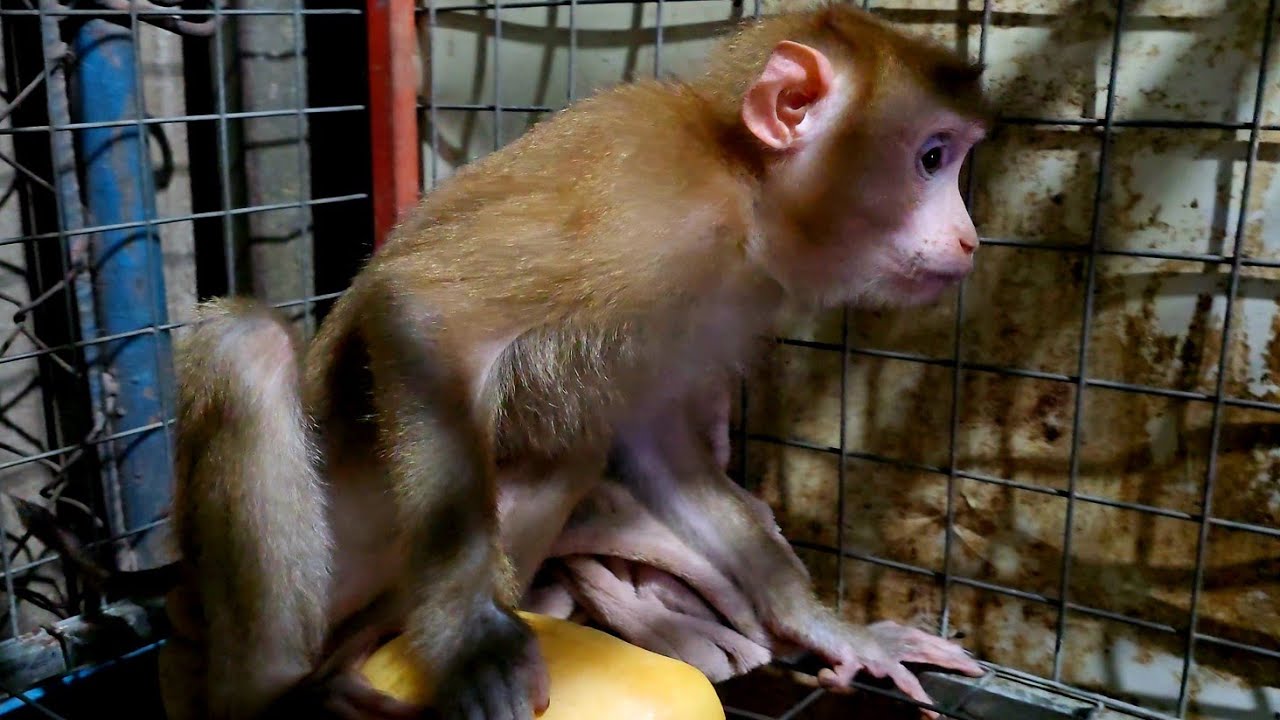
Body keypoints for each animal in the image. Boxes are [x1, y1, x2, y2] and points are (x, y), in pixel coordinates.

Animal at [28, 4, 997, 720]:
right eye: (932, 157)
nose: (970, 241)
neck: (743, 191)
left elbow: (662, 451)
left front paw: (830, 628)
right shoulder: (647, 200)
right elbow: (423, 309)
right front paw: (475, 641)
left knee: (564, 450)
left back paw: (350, 670)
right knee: (247, 346)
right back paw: (280, 699)